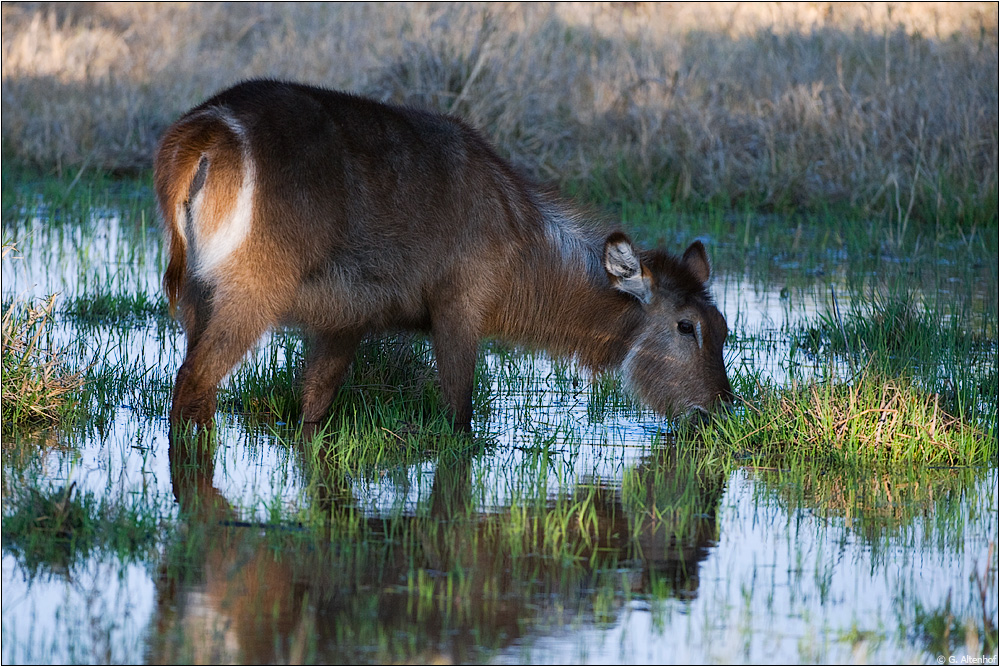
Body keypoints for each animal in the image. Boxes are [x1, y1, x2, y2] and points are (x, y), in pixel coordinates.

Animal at [156, 79, 736, 434]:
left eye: (724, 328)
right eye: (686, 326)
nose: (719, 410)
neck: (522, 249)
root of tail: (206, 133)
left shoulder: (344, 322)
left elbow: (312, 412)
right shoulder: (460, 310)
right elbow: (460, 418)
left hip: (196, 293)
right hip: (250, 293)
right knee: (192, 385)